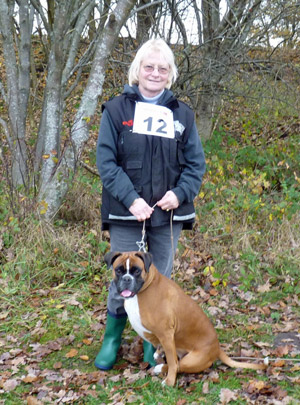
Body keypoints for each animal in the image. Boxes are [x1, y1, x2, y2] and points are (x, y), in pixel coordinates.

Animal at [105, 249, 264, 386]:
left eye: (137, 271)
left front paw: (170, 382)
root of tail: (217, 348)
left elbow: (172, 362)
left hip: (191, 360)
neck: (144, 288)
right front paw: (159, 352)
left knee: (178, 364)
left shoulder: (166, 333)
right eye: (118, 270)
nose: (126, 278)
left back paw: (160, 368)